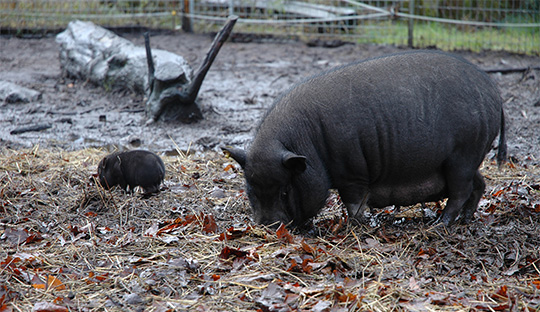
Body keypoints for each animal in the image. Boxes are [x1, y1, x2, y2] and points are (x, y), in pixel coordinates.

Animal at [225, 50, 506, 228]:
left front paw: (357, 224)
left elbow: (354, 203)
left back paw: (440, 224)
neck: (310, 144)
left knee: (461, 191)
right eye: (250, 189)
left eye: (284, 191)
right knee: (479, 183)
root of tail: (493, 90)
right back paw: (466, 219)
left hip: (463, 155)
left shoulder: (353, 172)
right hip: (468, 158)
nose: (267, 226)